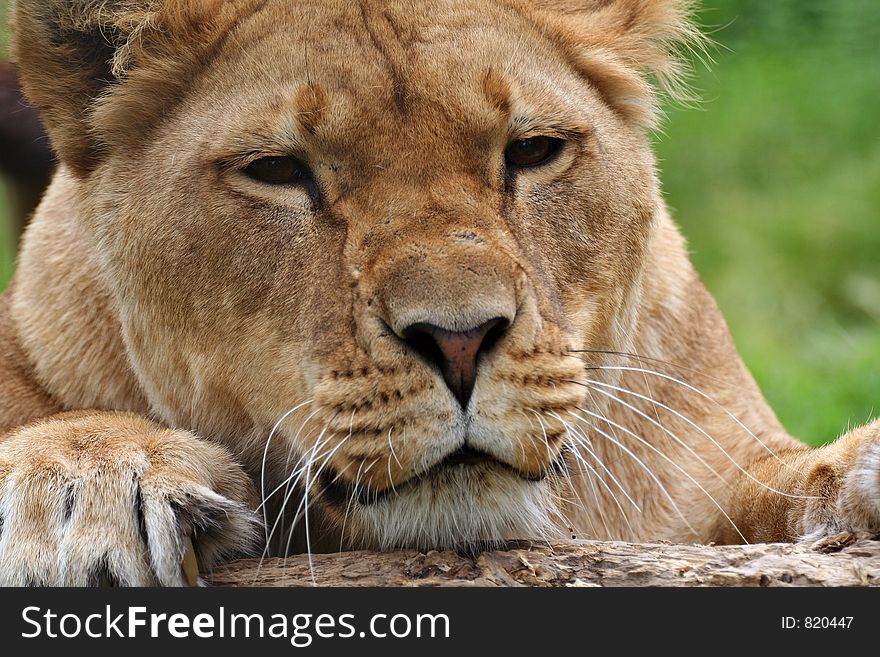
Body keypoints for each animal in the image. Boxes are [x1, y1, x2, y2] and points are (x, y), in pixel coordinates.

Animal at [0, 0, 876, 584]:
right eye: (277, 169)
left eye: (533, 150)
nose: (459, 340)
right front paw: (93, 482)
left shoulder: (719, 462)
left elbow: (779, 482)